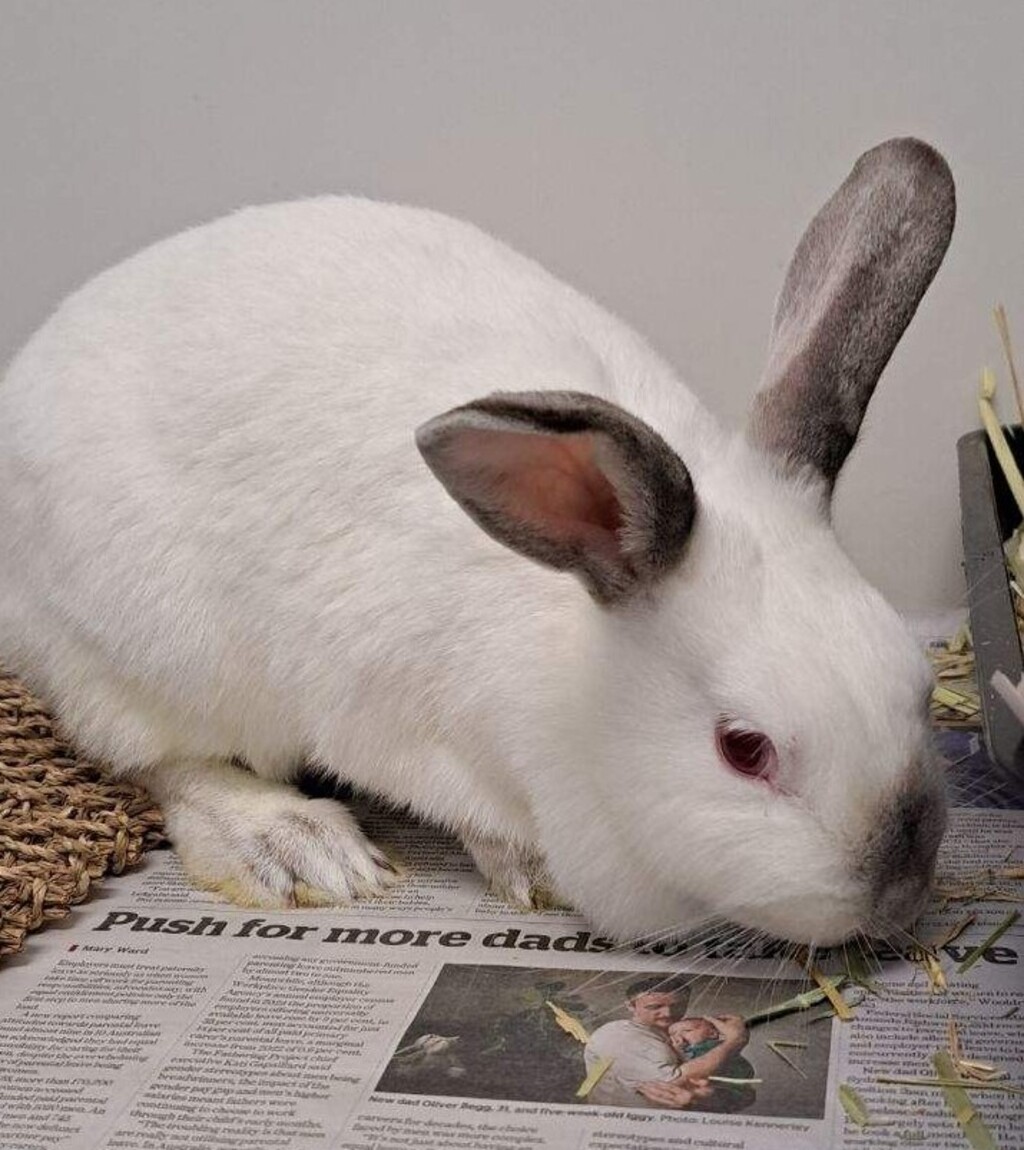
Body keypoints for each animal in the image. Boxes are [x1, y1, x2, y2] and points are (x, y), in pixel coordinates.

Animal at [0, 138, 954, 946]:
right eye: (743, 750)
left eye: (917, 683)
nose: (899, 891)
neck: (580, 680)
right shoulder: (398, 723)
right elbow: (464, 807)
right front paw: (528, 867)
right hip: (137, 653)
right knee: (157, 759)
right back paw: (297, 847)